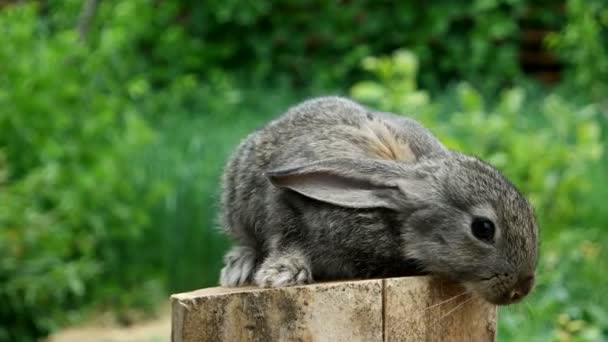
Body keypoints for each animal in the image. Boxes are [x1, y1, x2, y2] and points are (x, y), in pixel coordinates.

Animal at [217, 95, 536, 304]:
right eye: (483, 228)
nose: (521, 289)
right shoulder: (285, 205)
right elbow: (285, 234)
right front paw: (281, 275)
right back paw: (239, 268)